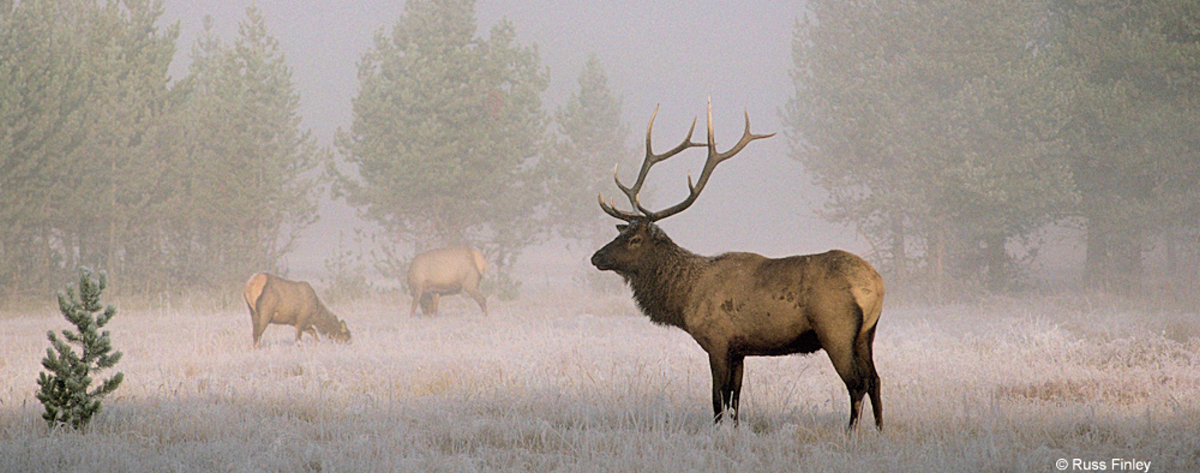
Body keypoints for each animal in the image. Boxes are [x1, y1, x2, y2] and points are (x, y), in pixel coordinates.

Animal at [588, 99, 883, 429]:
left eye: (635, 239)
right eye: (620, 232)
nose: (596, 257)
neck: (685, 297)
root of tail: (876, 283)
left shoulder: (717, 340)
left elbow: (718, 397)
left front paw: (718, 430)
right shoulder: (740, 349)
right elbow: (735, 398)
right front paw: (736, 428)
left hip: (836, 329)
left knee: (857, 382)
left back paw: (851, 431)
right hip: (867, 333)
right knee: (875, 379)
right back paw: (879, 430)